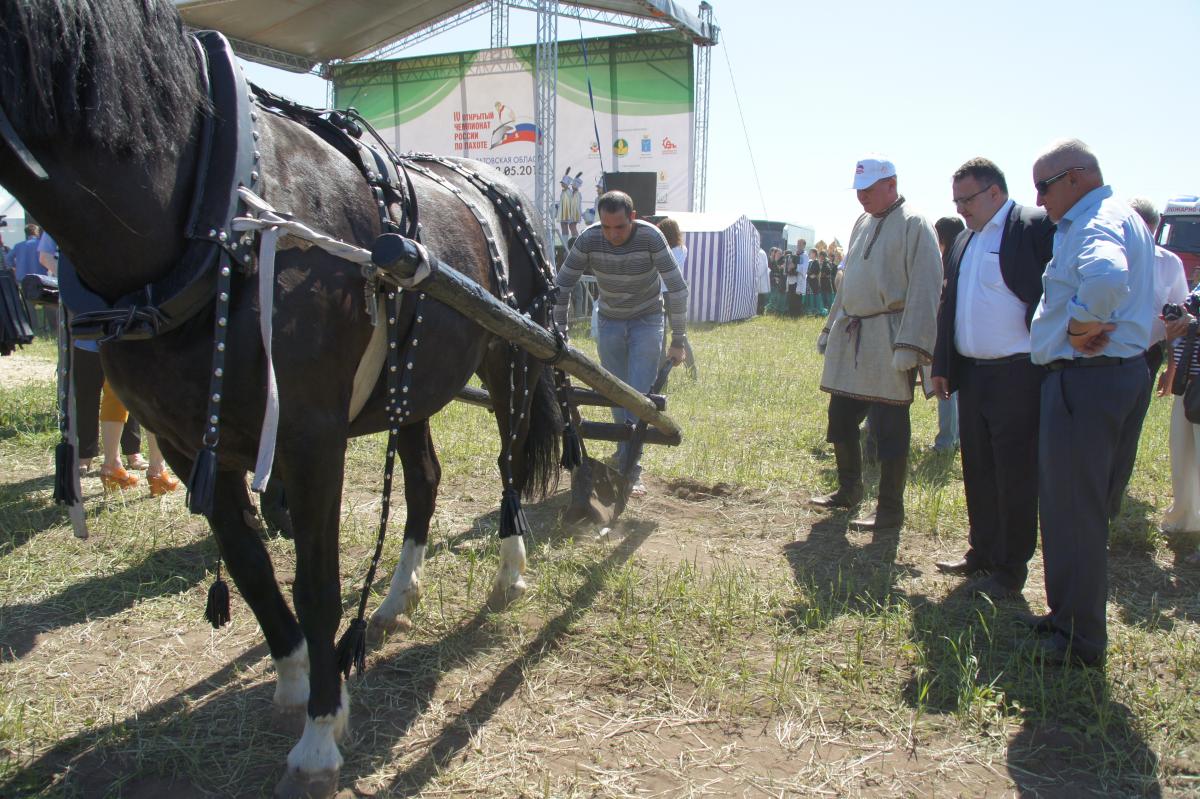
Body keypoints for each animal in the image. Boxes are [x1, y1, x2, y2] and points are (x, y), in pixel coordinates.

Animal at [1, 3, 561, 791]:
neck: (220, 208)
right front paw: (297, 678)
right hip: (412, 387)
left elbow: (317, 585)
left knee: (509, 468)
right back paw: (397, 596)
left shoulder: (309, 436)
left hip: (512, 361)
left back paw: (510, 570)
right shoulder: (189, 442)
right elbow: (252, 567)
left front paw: (320, 736)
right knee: (423, 480)